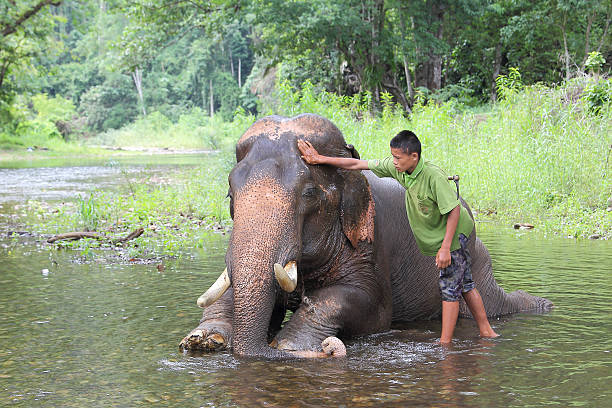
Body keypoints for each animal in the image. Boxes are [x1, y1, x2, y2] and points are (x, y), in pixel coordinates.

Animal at [178, 112, 556, 356]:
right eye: (230, 197)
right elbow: (227, 288)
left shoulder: (371, 244)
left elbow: (369, 306)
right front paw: (203, 340)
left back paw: (541, 306)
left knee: (487, 302)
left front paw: (289, 344)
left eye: (309, 194)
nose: (331, 351)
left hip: (474, 255)